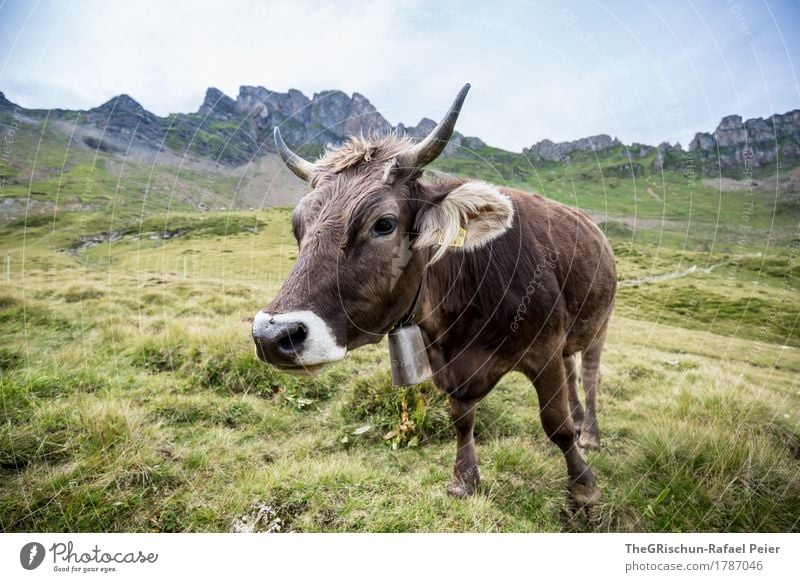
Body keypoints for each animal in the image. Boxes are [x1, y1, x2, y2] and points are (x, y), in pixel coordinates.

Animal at [253, 84, 616, 508]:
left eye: (384, 224)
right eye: (297, 226)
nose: (272, 335)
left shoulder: (545, 347)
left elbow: (555, 423)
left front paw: (584, 485)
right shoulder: (448, 361)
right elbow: (461, 418)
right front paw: (464, 480)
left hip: (600, 324)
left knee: (589, 375)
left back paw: (589, 433)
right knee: (573, 372)